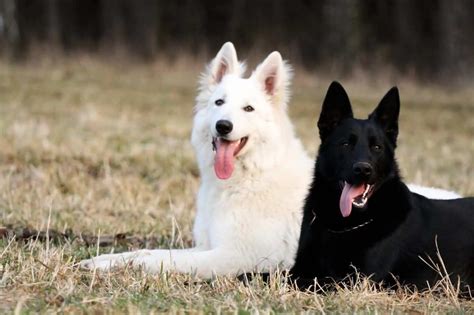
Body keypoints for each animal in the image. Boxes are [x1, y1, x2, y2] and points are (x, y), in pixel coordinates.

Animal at [80, 42, 460, 278]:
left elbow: (163, 262)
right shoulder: (208, 246)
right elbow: (148, 253)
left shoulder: (232, 256)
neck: (248, 178)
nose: (223, 125)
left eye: (248, 109)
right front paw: (101, 261)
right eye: (219, 103)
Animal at [288, 82, 474, 296]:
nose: (363, 169)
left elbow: (296, 280)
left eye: (377, 147)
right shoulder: (301, 266)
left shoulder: (357, 282)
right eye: (345, 144)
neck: (342, 225)